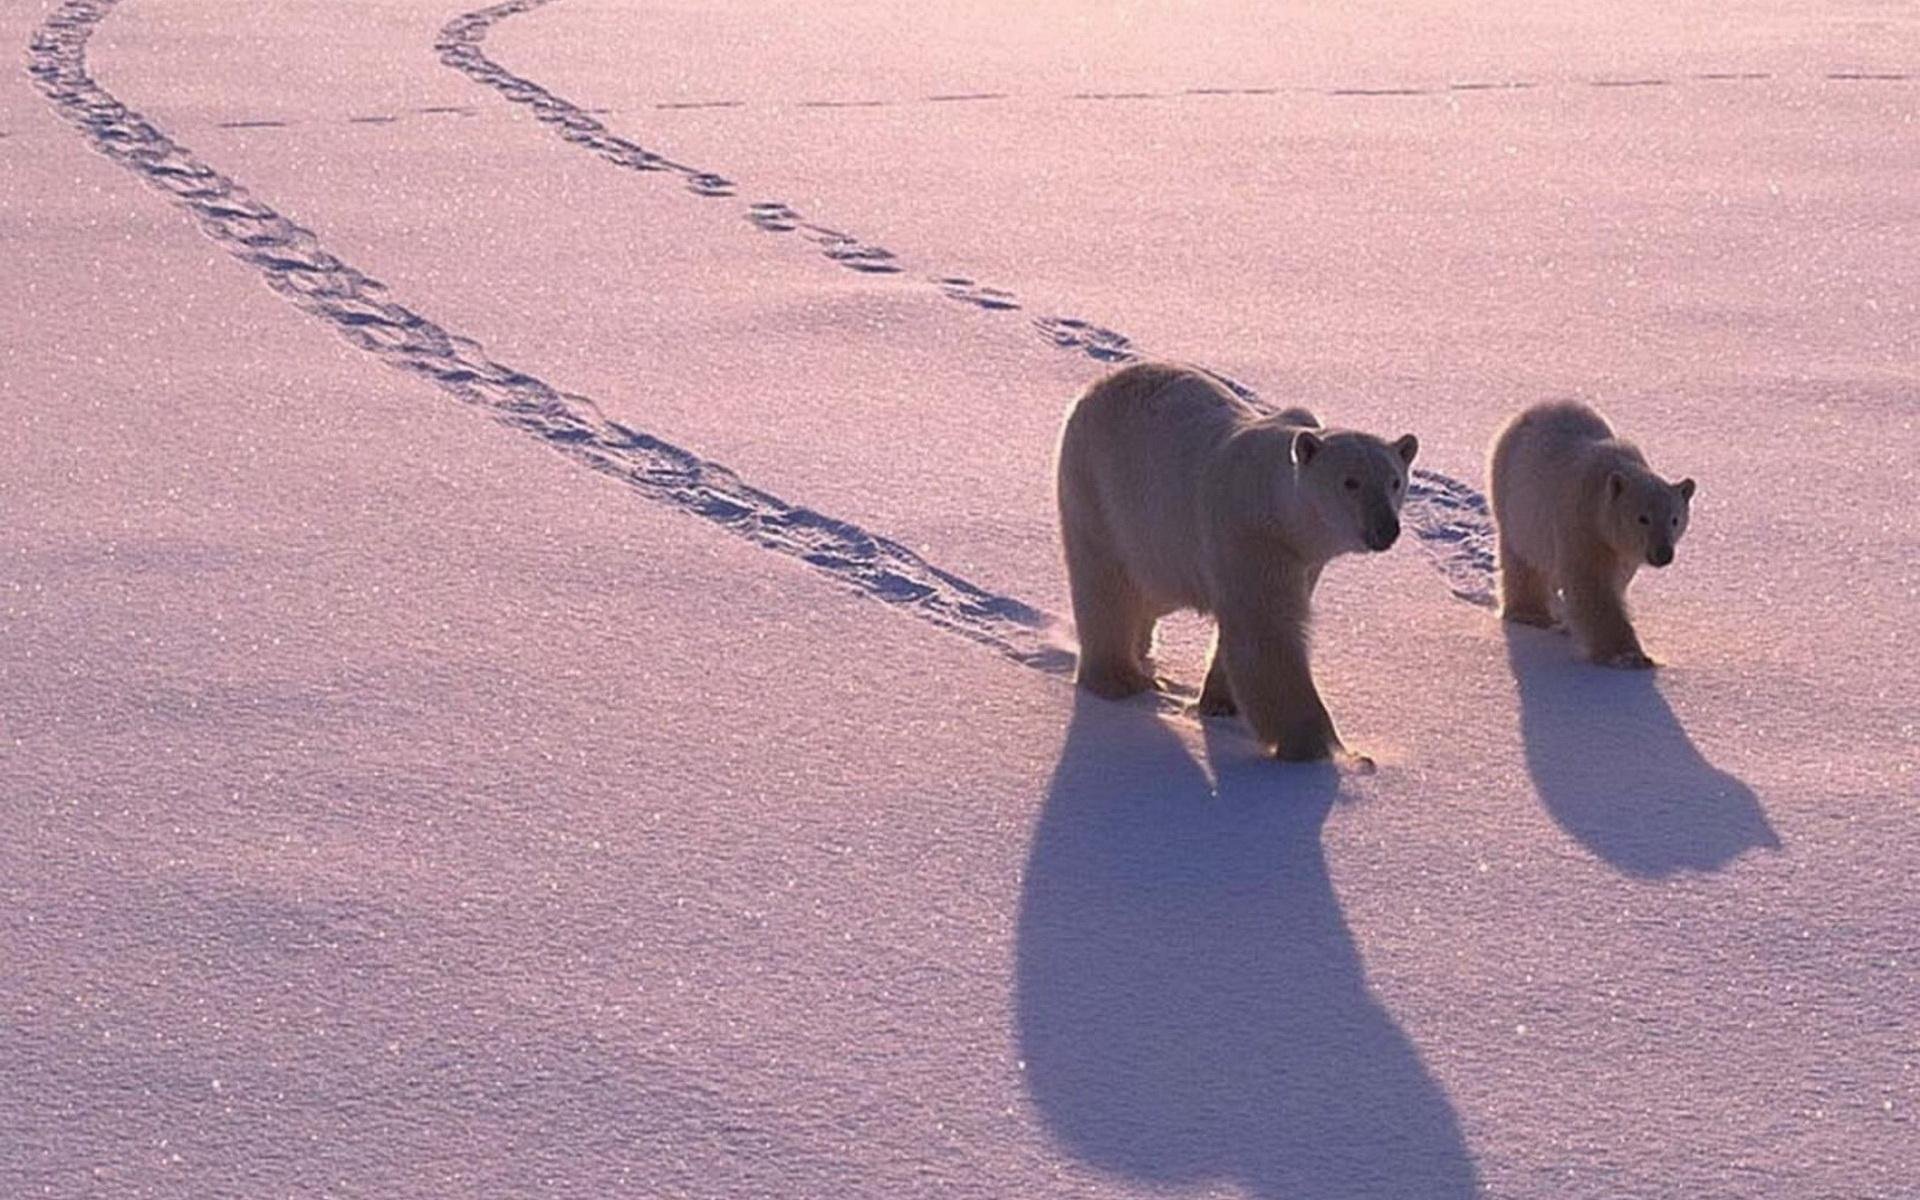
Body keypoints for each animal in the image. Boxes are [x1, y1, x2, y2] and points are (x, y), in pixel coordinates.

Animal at [1055, 362, 1419, 761]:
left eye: (1394, 481)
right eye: (1350, 482)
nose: (1386, 528)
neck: (1276, 504)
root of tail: (1098, 385)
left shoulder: (1304, 559)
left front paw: (1220, 702)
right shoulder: (1250, 536)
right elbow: (1266, 633)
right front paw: (1317, 746)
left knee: (1152, 591)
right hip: (1099, 487)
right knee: (1105, 584)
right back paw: (1120, 679)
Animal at [1487, 400, 1695, 669]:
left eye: (1674, 519)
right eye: (1643, 518)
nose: (1663, 554)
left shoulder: (1621, 549)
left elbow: (1615, 580)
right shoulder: (1583, 524)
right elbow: (1592, 584)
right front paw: (1628, 656)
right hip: (1511, 492)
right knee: (1521, 559)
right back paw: (1530, 613)